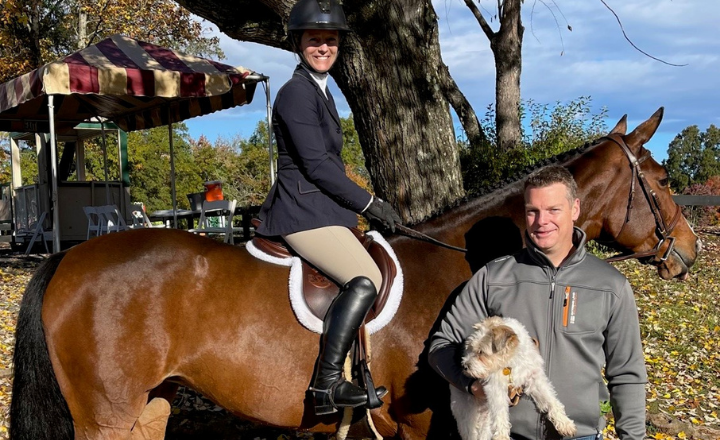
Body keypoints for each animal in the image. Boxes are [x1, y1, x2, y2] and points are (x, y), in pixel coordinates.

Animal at [450, 316, 580, 440]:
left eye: (481, 352)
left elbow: (551, 400)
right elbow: (500, 415)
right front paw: (501, 437)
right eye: (470, 348)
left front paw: (565, 423)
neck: (511, 362)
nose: (464, 366)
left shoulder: (534, 378)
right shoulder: (496, 389)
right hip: (468, 416)